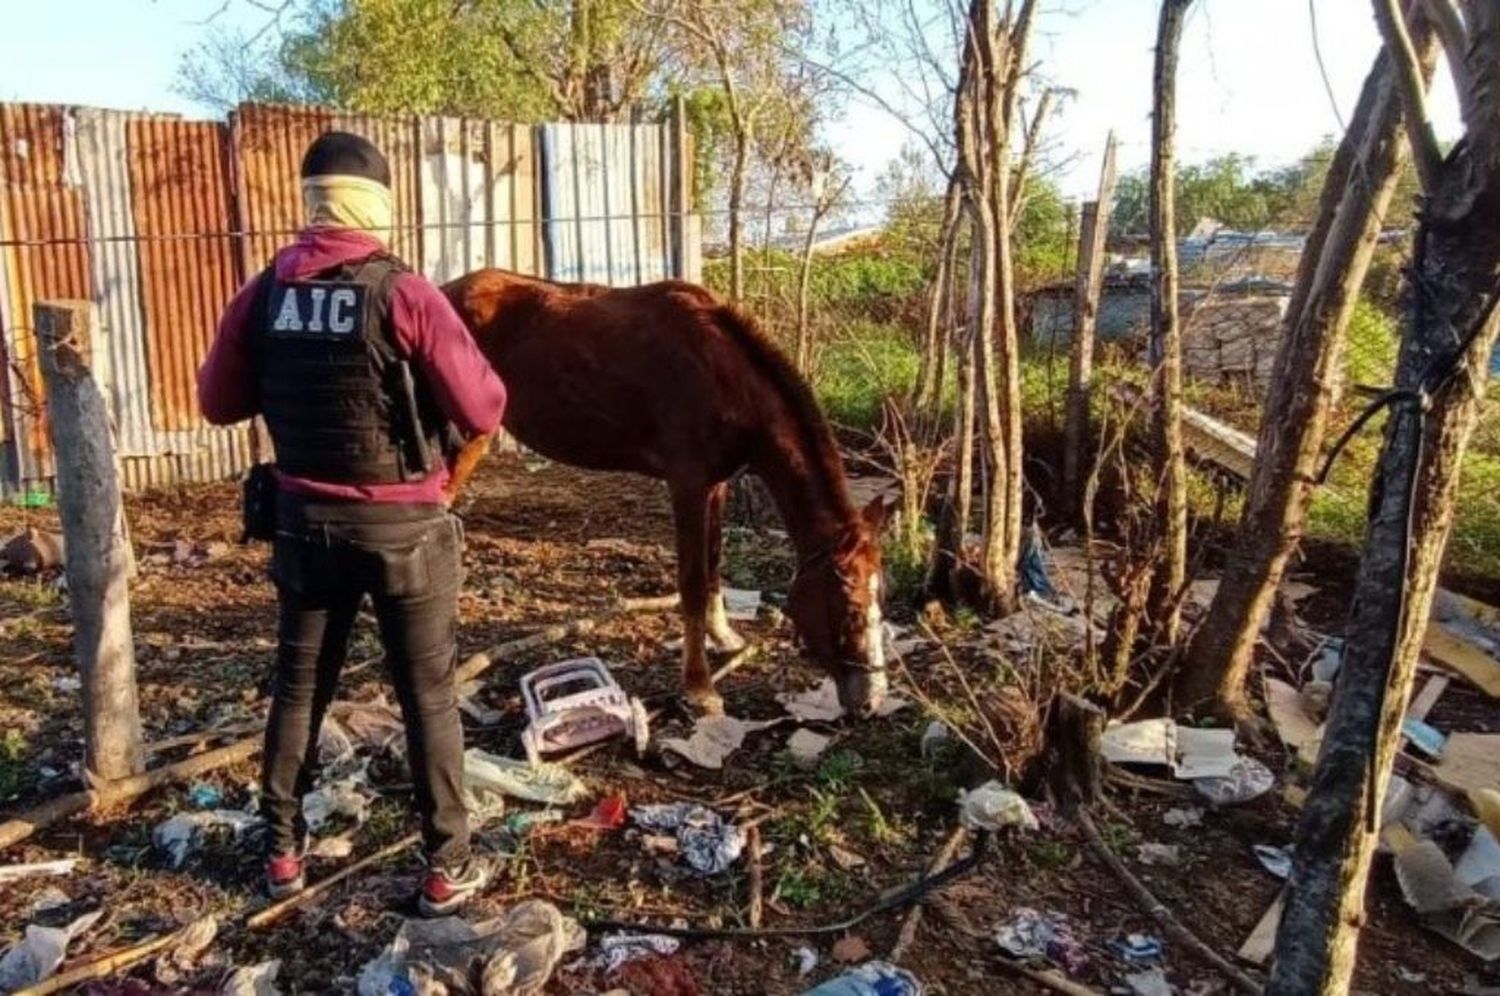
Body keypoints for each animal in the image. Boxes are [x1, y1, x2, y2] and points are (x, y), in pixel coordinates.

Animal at [444, 264, 888, 717]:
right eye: (851, 609)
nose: (872, 699)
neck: (725, 376)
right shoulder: (687, 483)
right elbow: (692, 582)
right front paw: (700, 686)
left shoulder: (716, 483)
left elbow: (714, 563)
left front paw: (723, 637)